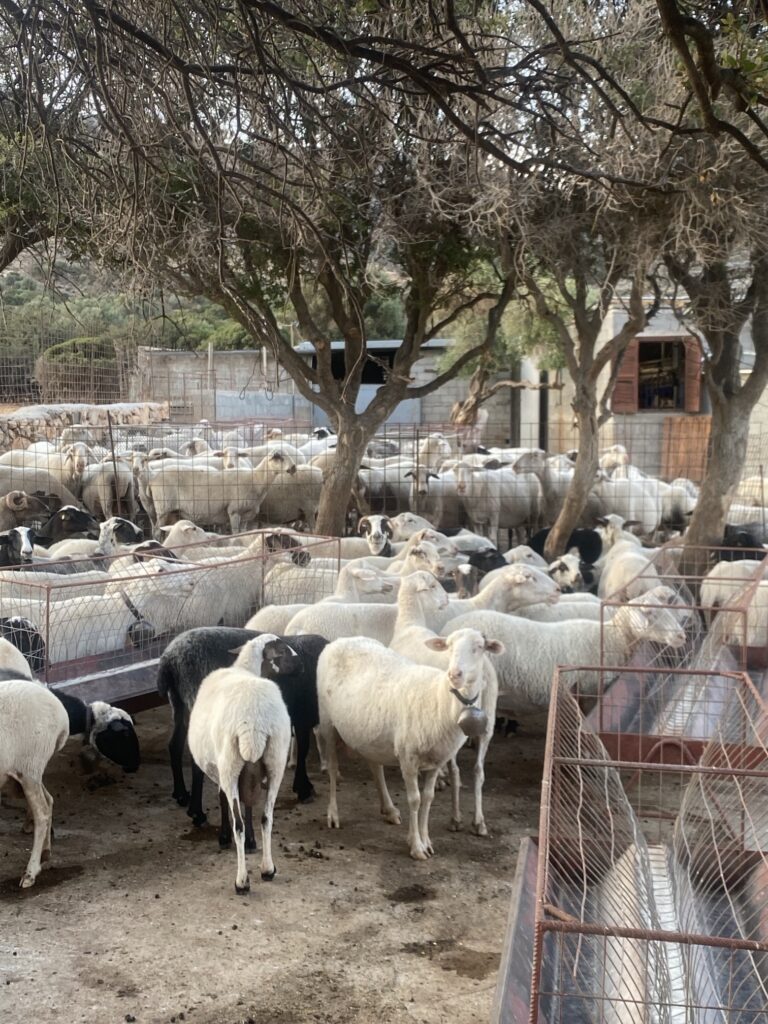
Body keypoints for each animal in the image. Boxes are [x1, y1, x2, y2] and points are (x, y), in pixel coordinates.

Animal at [0, 677, 69, 886]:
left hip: (30, 767)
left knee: (42, 813)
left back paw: (30, 872)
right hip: (27, 774)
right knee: (49, 800)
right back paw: (45, 853)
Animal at [158, 628, 328, 835]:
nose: (301, 666)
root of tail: (169, 659)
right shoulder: (303, 715)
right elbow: (303, 750)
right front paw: (303, 788)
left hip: (178, 704)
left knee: (174, 745)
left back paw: (181, 794)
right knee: (196, 760)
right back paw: (197, 813)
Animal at [187, 635, 291, 893]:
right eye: (283, 650)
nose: (302, 663)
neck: (245, 668)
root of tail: (253, 721)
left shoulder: (220, 768)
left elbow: (224, 801)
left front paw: (223, 838)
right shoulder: (250, 774)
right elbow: (250, 806)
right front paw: (253, 843)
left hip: (230, 764)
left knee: (239, 825)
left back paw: (241, 881)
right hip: (275, 761)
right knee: (267, 817)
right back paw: (267, 869)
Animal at [317, 629, 503, 859]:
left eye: (479, 647)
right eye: (449, 647)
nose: (454, 674)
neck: (440, 700)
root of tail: (342, 640)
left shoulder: (437, 761)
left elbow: (428, 798)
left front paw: (426, 841)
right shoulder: (408, 758)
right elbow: (415, 800)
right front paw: (416, 846)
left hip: (369, 733)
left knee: (375, 766)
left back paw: (388, 809)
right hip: (327, 722)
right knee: (333, 768)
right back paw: (333, 814)